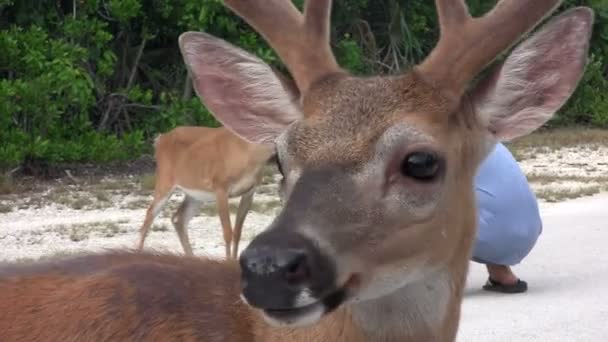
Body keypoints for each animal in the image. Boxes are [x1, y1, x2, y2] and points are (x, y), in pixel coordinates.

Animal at [138, 125, 276, 260]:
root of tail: (160, 139)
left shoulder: (250, 192)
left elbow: (237, 232)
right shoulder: (220, 187)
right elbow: (227, 232)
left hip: (195, 194)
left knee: (178, 218)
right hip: (165, 180)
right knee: (149, 216)